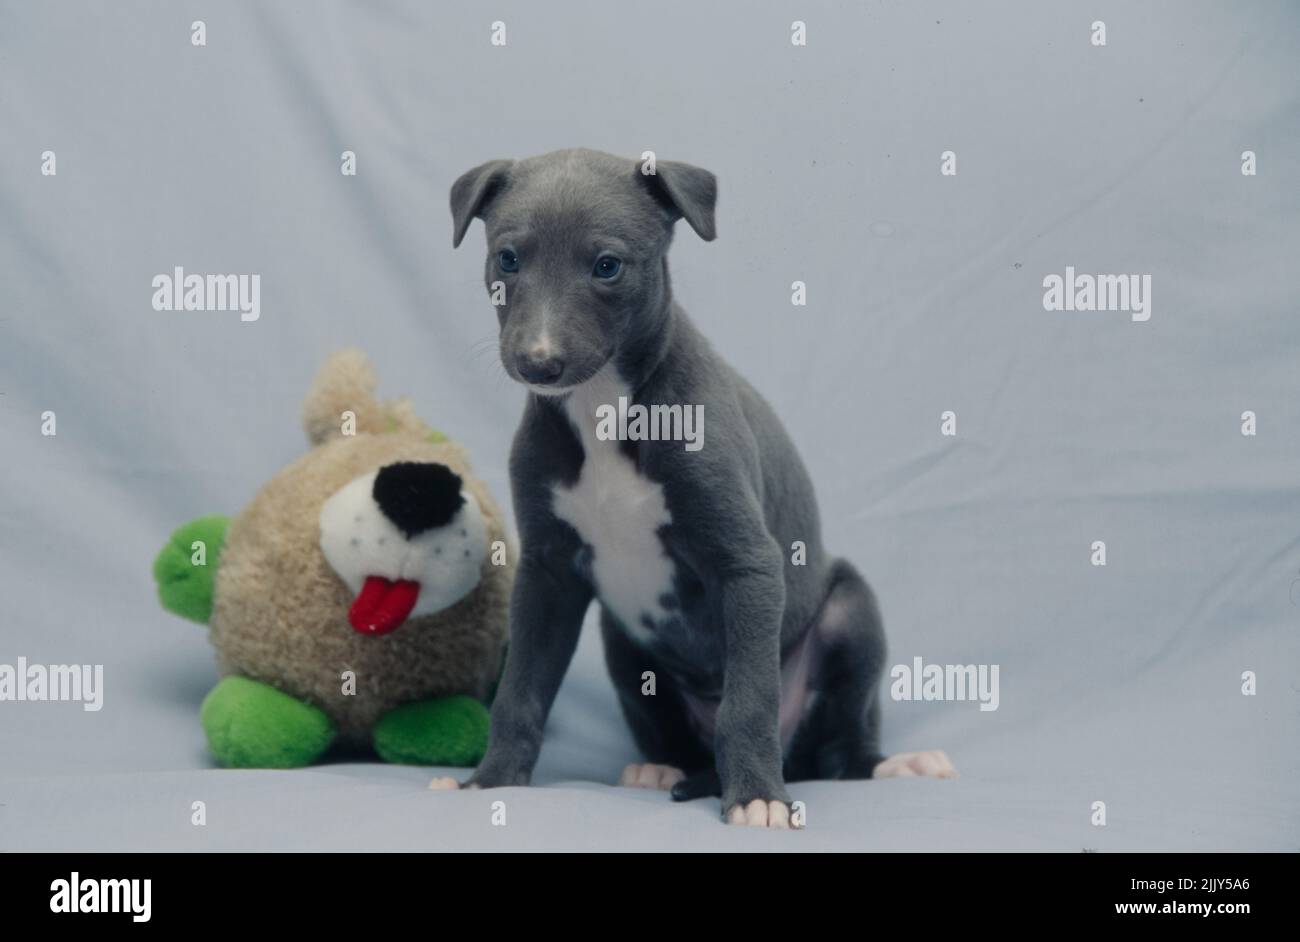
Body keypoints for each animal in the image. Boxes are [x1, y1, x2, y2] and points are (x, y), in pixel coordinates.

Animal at [436, 144, 956, 821]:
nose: (538, 363)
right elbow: (520, 689)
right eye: (508, 258)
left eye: (607, 266)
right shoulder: (547, 575)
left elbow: (750, 700)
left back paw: (887, 764)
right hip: (624, 645)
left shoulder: (747, 561)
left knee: (841, 748)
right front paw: (492, 782)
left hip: (849, 614)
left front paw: (757, 799)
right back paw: (665, 769)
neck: (605, 410)